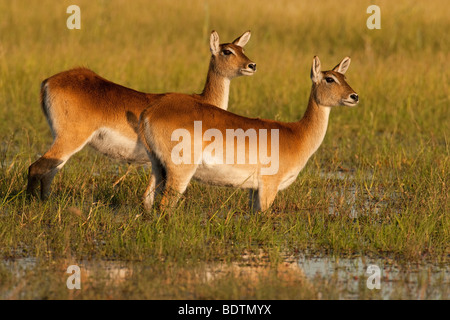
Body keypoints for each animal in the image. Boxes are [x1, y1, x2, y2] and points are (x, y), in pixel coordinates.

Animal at [26, 30, 255, 200]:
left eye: (242, 49)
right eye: (227, 51)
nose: (252, 65)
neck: (203, 100)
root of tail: (47, 82)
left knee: (49, 172)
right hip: (69, 139)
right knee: (36, 168)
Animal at [139, 56, 360, 212]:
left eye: (344, 77)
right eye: (330, 79)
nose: (354, 96)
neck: (297, 134)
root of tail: (151, 111)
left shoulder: (253, 191)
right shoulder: (268, 188)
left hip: (157, 167)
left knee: (147, 200)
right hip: (180, 172)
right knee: (165, 205)